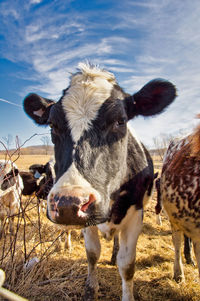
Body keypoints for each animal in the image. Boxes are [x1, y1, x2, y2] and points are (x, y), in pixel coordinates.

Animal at [23, 62, 177, 298]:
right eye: (52, 125)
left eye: (120, 121)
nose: (68, 203)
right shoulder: (87, 222)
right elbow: (92, 254)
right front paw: (90, 289)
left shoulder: (136, 214)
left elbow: (127, 265)